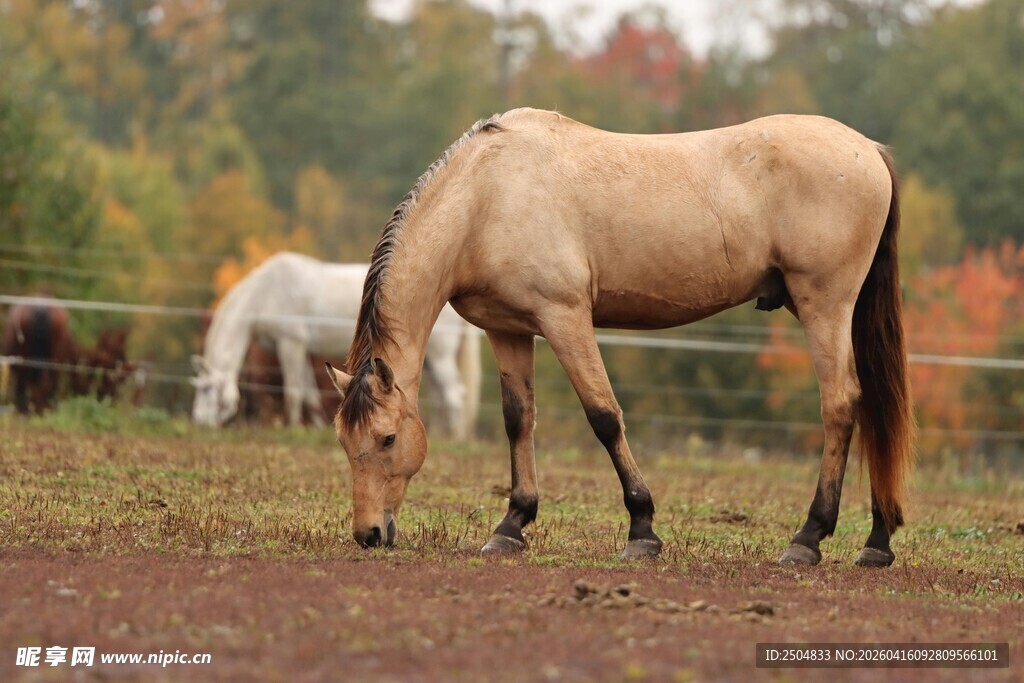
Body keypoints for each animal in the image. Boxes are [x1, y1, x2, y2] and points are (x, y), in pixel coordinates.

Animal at [191, 253, 482, 436]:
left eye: (207, 389)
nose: (199, 421)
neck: (266, 291)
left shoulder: (291, 345)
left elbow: (294, 392)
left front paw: (292, 427)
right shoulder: (302, 350)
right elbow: (309, 395)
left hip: (440, 358)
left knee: (454, 395)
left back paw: (454, 438)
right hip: (430, 359)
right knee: (441, 397)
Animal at [325, 107, 914, 568]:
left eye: (387, 439)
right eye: (344, 443)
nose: (369, 534)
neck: (486, 196)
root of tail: (868, 149)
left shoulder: (565, 318)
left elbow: (604, 416)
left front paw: (642, 528)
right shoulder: (508, 329)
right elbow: (519, 419)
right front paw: (512, 525)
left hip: (824, 306)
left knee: (841, 405)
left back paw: (809, 537)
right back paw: (877, 541)